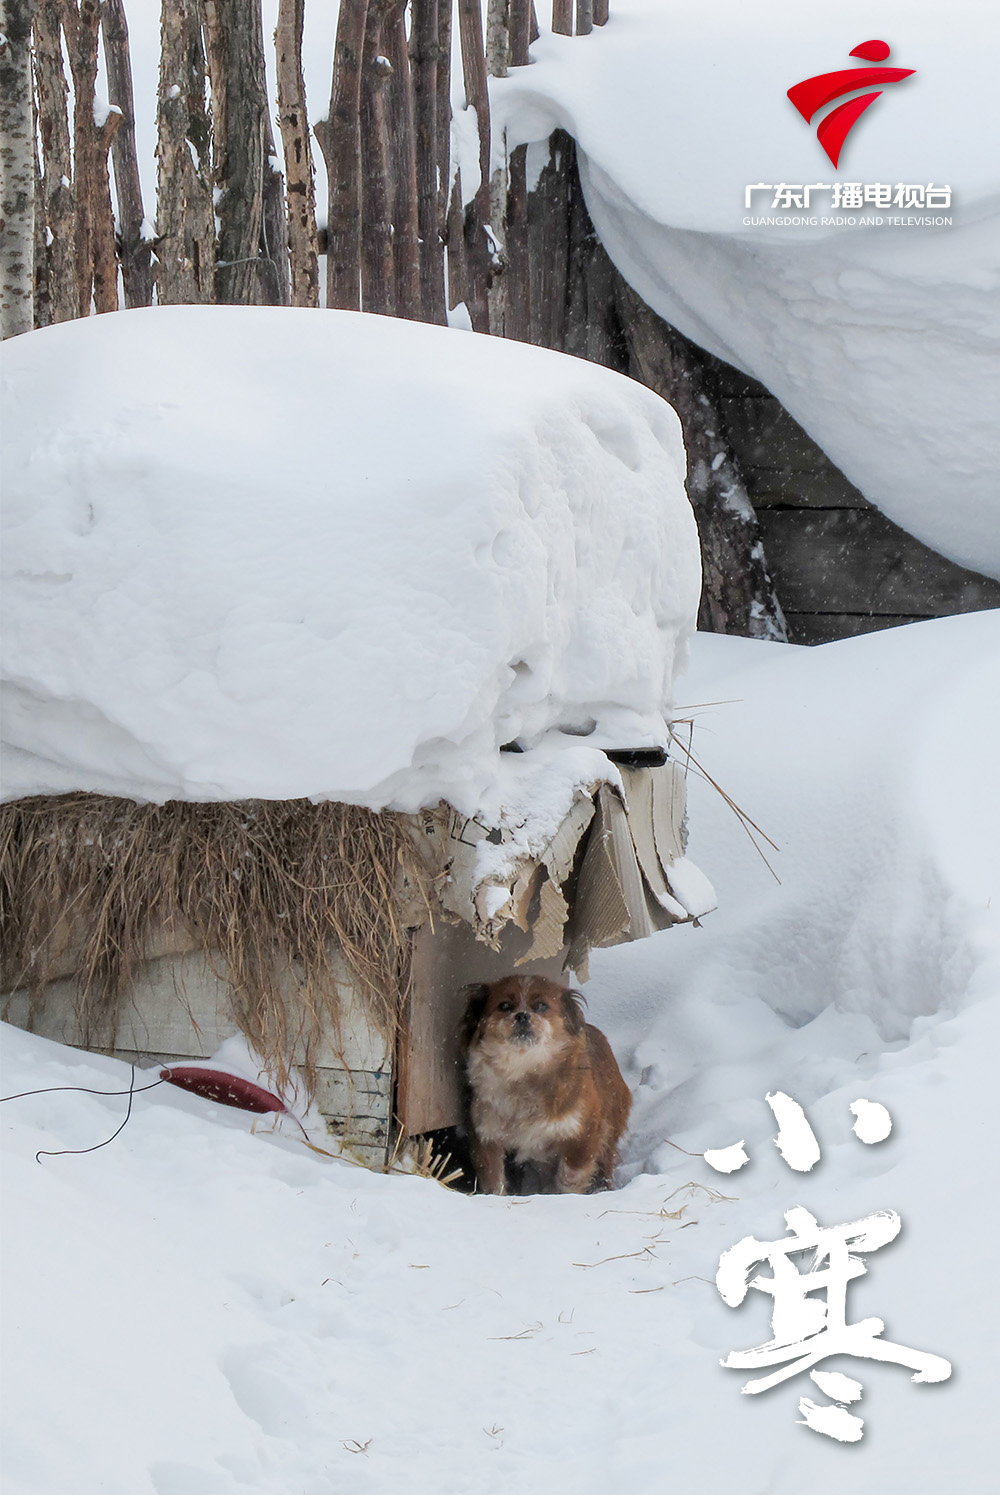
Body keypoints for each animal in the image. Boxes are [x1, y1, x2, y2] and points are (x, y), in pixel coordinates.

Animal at [460, 974, 630, 1196]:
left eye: (541, 1006)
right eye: (504, 1006)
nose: (522, 1015)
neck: (524, 1074)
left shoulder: (583, 1135)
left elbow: (570, 1179)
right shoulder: (487, 1138)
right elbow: (495, 1181)